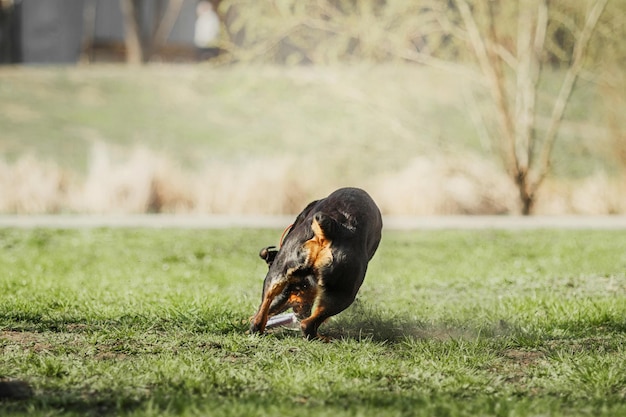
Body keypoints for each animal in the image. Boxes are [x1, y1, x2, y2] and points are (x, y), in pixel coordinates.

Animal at [249, 187, 380, 340]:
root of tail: (332, 229)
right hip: (343, 293)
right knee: (308, 324)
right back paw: (323, 338)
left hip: (276, 277)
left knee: (260, 315)